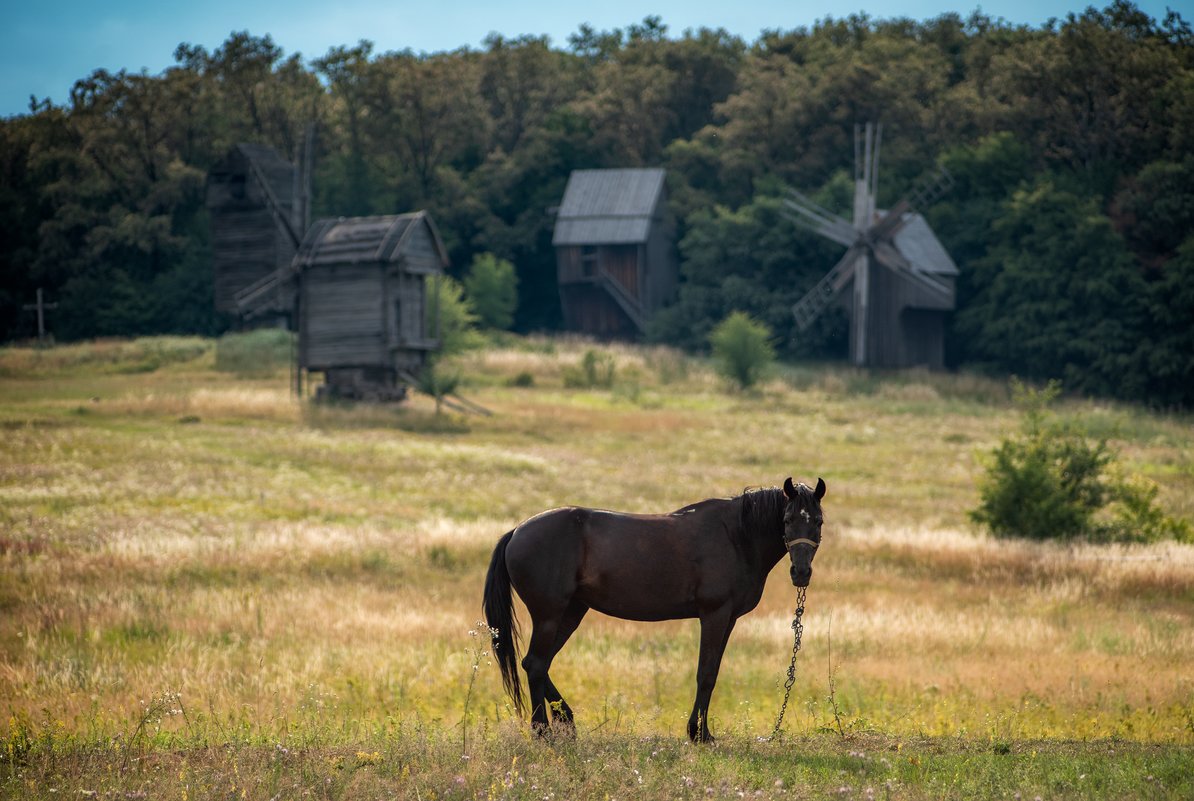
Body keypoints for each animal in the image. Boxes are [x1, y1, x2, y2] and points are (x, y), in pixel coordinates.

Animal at [479, 472, 826, 744]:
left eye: (818, 522)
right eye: (787, 520)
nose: (801, 573)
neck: (735, 536)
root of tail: (517, 531)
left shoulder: (728, 619)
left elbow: (712, 671)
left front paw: (701, 731)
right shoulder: (714, 615)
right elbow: (706, 674)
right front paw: (698, 734)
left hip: (571, 612)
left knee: (536, 664)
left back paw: (565, 722)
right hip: (549, 615)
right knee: (537, 664)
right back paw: (543, 731)